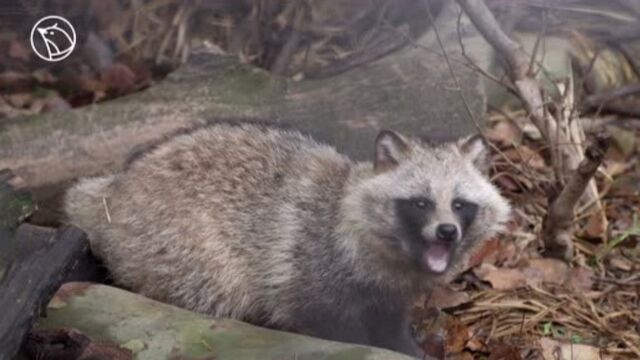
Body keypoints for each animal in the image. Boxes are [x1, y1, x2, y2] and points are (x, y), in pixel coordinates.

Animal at [65, 124, 510, 358]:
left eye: (460, 204)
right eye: (420, 203)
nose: (447, 232)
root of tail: (113, 190)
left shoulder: (389, 291)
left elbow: (390, 321)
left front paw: (407, 346)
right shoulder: (306, 267)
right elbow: (331, 325)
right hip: (176, 240)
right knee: (210, 287)